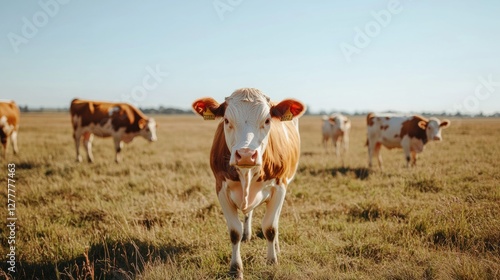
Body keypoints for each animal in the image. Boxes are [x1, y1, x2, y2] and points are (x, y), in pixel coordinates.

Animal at [193, 87, 306, 278]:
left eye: (267, 120)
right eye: (226, 120)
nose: (246, 154)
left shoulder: (280, 187)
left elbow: (270, 228)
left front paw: (272, 261)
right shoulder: (221, 189)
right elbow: (234, 232)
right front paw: (235, 268)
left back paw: (276, 247)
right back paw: (247, 235)